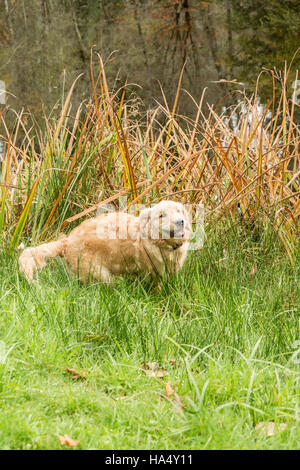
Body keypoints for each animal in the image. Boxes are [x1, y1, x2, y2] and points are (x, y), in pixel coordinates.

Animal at [18, 199, 191, 282]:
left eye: (178, 211)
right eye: (162, 215)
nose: (180, 221)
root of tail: (67, 241)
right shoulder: (153, 274)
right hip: (99, 273)